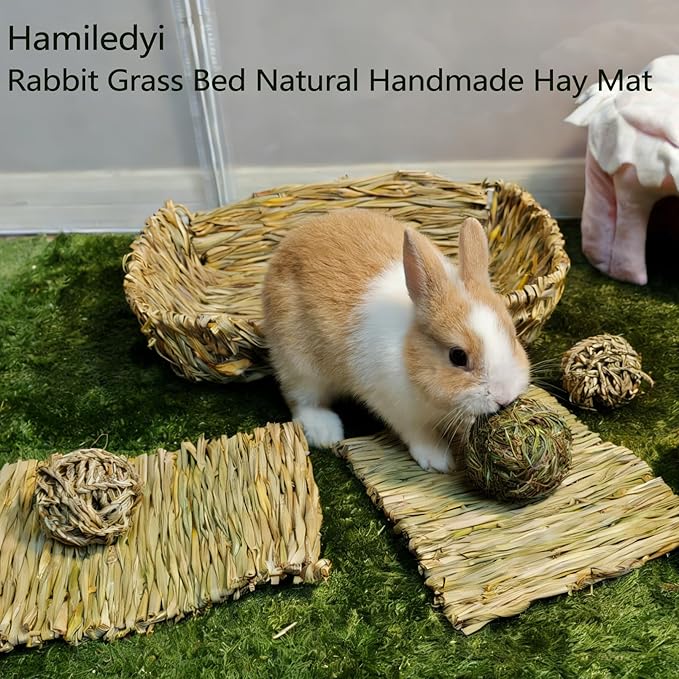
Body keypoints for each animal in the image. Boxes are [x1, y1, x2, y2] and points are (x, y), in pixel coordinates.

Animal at [261, 208, 530, 473]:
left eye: (513, 335)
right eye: (457, 356)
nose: (504, 397)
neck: (409, 353)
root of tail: (290, 241)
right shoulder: (398, 409)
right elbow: (419, 434)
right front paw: (439, 461)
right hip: (300, 365)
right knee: (301, 399)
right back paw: (325, 433)